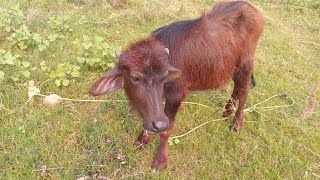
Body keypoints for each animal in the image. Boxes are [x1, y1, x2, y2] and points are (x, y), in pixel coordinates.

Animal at [89, 0, 264, 172]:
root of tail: (252, 9)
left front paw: (160, 160)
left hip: (246, 64)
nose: (158, 124)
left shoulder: (175, 96)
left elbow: (166, 130)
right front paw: (141, 141)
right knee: (236, 88)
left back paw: (236, 123)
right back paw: (227, 111)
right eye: (134, 77)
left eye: (163, 77)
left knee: (243, 91)